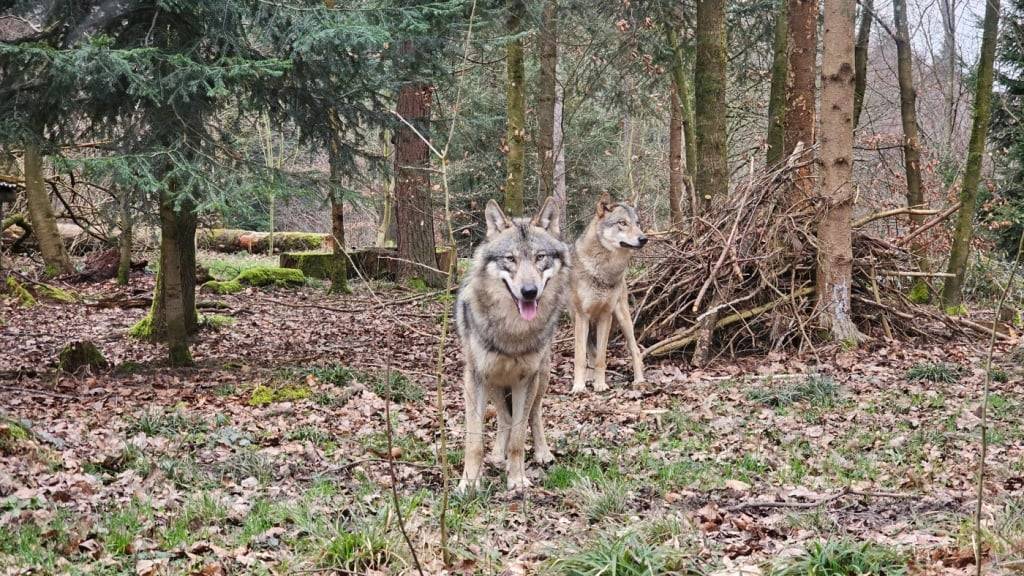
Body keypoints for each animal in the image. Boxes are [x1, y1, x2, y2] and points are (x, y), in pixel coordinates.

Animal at [458, 195, 573, 487]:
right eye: (510, 259)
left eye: (540, 257)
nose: (529, 292)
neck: (513, 332)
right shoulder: (475, 378)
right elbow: (475, 440)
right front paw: (469, 482)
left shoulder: (526, 380)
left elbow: (520, 438)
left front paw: (517, 480)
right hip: (495, 384)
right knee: (504, 417)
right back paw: (498, 456)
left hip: (541, 377)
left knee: (534, 414)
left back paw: (542, 454)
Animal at [569, 191, 647, 389]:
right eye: (622, 223)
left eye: (637, 223)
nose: (644, 238)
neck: (604, 270)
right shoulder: (582, 316)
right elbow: (580, 357)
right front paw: (579, 386)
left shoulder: (606, 316)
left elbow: (601, 358)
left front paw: (600, 385)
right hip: (579, 320)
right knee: (589, 350)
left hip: (623, 318)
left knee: (635, 349)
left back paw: (639, 381)